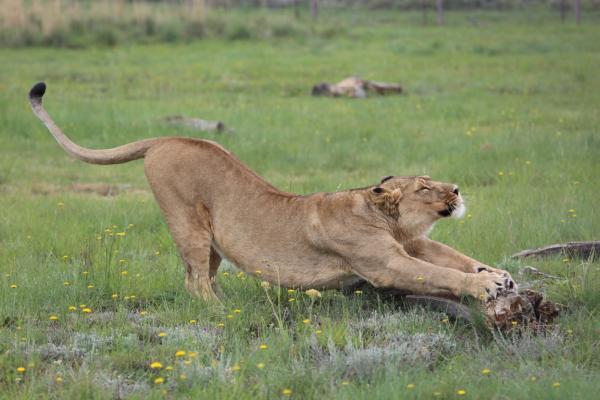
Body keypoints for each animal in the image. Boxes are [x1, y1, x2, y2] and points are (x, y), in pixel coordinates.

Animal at [29, 82, 516, 304]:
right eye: (425, 187)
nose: (457, 189)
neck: (387, 220)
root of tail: (166, 138)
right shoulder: (384, 263)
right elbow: (440, 274)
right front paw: (482, 286)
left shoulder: (413, 243)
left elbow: (453, 257)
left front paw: (496, 274)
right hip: (188, 223)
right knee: (193, 281)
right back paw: (220, 311)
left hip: (213, 239)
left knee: (201, 275)